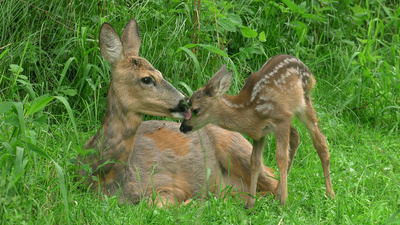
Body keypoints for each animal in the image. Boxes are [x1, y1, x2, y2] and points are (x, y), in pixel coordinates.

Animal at [78, 18, 278, 207]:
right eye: (147, 79)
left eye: (160, 73)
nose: (184, 103)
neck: (111, 178)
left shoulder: (170, 182)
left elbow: (155, 204)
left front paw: (192, 201)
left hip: (236, 147)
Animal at [180, 56, 334, 207]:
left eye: (195, 109)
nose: (182, 127)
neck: (251, 109)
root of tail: (307, 69)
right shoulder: (259, 134)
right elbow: (255, 162)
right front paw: (250, 204)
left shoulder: (281, 118)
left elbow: (281, 158)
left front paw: (283, 203)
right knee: (296, 136)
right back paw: (277, 192)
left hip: (304, 102)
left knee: (320, 141)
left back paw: (330, 194)